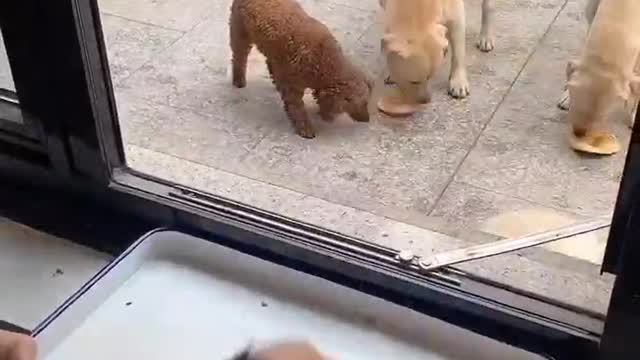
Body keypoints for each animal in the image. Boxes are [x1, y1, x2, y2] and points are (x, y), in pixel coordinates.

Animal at [230, 0, 372, 139]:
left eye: (366, 101)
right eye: (353, 103)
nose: (367, 119)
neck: (323, 62)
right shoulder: (293, 86)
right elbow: (297, 108)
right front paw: (305, 129)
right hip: (239, 33)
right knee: (239, 58)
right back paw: (239, 80)